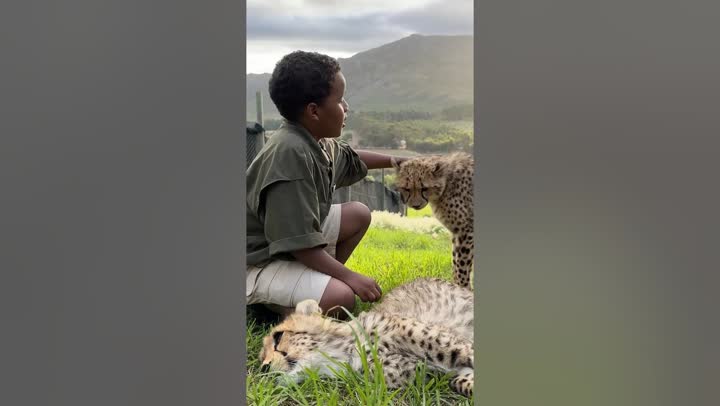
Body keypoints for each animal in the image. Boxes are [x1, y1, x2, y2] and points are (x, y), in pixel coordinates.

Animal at [393, 152, 474, 288]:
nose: (415, 205)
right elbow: (455, 261)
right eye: (407, 188)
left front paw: (463, 287)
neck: (447, 183)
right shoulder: (457, 232)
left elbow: (462, 264)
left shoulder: (467, 230)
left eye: (424, 188)